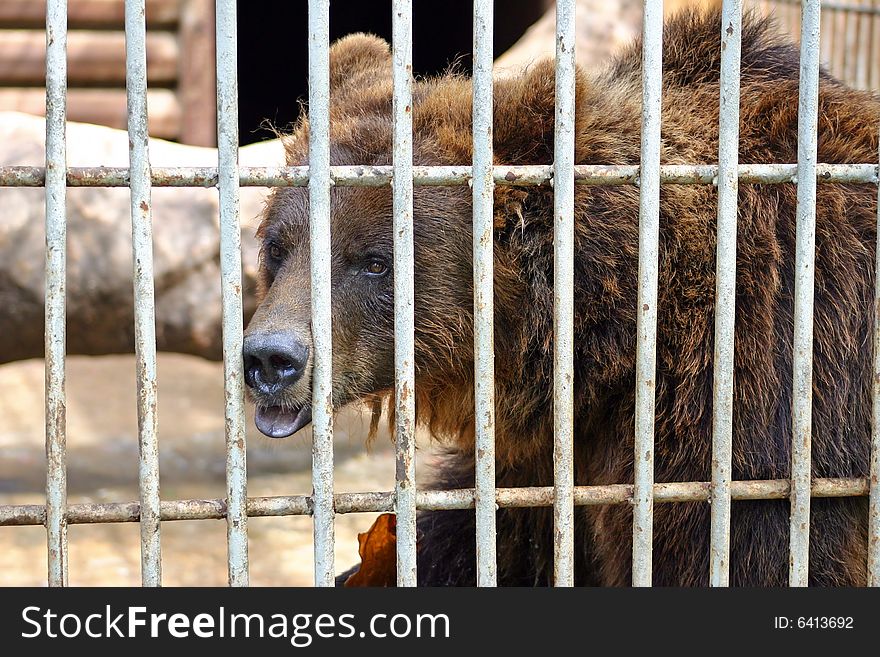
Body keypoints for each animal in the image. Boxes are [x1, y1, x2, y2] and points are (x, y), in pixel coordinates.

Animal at [242, 9, 880, 584]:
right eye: (277, 247)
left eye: (375, 262)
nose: (270, 358)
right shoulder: (543, 457)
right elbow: (482, 537)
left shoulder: (754, 416)